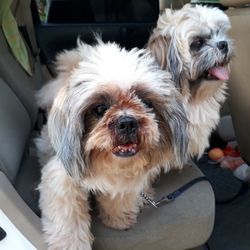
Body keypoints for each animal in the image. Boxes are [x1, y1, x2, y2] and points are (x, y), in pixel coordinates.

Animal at [36, 40, 187, 249]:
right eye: (100, 109)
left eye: (146, 103)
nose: (127, 122)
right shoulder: (62, 180)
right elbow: (68, 219)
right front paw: (70, 244)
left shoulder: (123, 179)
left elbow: (118, 199)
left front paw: (118, 219)